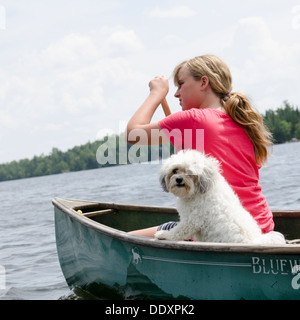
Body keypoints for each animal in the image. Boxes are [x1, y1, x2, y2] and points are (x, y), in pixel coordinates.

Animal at [156, 150, 284, 245]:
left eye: (190, 172)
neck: (197, 192)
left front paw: (164, 235)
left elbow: (178, 231)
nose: (179, 179)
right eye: (175, 170)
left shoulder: (192, 220)